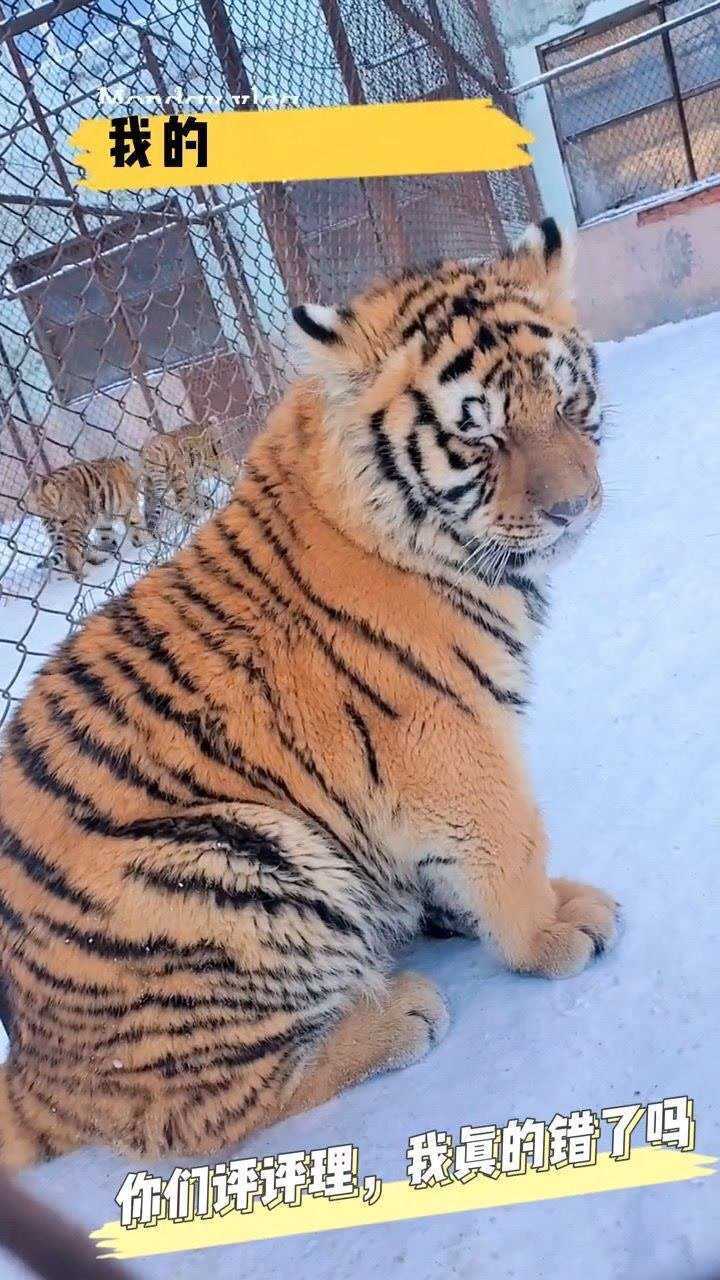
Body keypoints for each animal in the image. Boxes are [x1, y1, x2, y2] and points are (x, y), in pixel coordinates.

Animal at [0, 219, 619, 1169]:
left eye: (567, 401)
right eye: (478, 439)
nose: (575, 509)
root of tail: (39, 1065)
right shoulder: (447, 733)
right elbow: (510, 840)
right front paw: (549, 931)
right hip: (227, 865)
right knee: (198, 1113)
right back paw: (396, 1014)